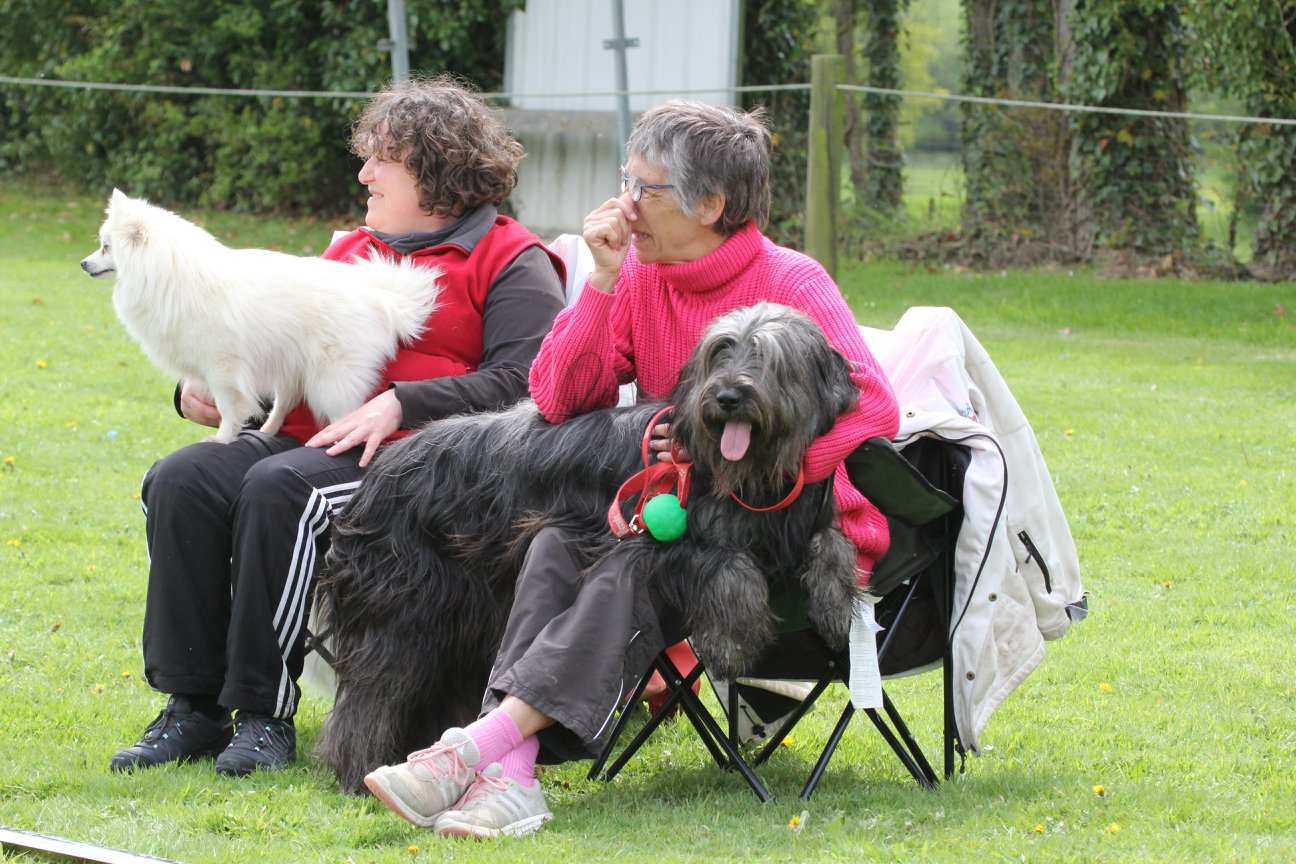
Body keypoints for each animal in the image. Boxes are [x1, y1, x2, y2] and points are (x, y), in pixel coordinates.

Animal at [83, 191, 445, 443]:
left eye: (105, 247)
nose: (83, 264)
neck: (171, 274)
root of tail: (382, 299)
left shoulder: (223, 369)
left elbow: (229, 408)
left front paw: (222, 439)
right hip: (291, 366)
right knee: (284, 402)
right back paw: (268, 431)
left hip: (332, 379)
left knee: (345, 414)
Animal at [312, 300, 860, 792]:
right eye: (720, 352)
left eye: (769, 358)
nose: (726, 397)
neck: (750, 476)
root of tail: (376, 474)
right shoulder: (653, 538)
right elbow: (729, 565)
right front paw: (735, 637)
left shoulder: (797, 523)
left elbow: (833, 544)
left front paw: (835, 606)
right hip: (403, 613)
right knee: (373, 693)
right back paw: (362, 772)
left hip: (460, 623)